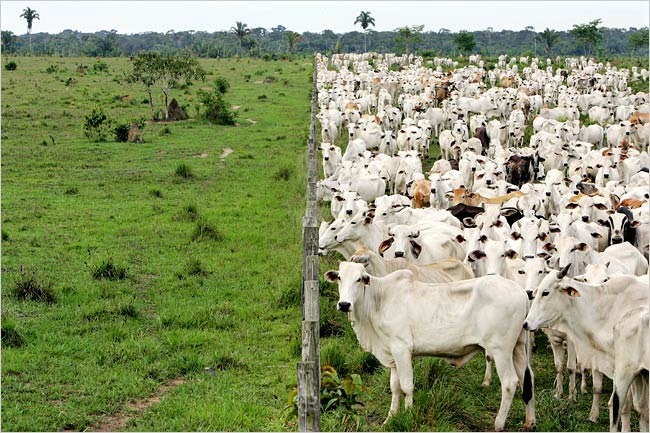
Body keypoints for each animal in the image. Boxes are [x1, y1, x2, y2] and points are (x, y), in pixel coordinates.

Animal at [326, 262, 536, 431]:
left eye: (359, 279)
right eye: (339, 278)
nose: (344, 304)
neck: (380, 300)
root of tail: (521, 292)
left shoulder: (402, 348)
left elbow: (407, 386)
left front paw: (409, 415)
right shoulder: (392, 352)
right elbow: (395, 387)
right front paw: (389, 419)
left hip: (501, 350)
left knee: (510, 383)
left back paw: (498, 424)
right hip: (518, 348)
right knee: (527, 379)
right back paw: (530, 422)